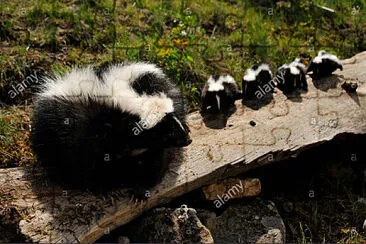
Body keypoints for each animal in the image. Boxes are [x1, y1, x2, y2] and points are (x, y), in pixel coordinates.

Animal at [31, 63, 192, 198]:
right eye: (168, 132)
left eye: (174, 123)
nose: (187, 139)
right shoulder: (91, 138)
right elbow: (90, 168)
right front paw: (104, 191)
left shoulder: (149, 147)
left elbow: (153, 163)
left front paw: (139, 191)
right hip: (52, 135)